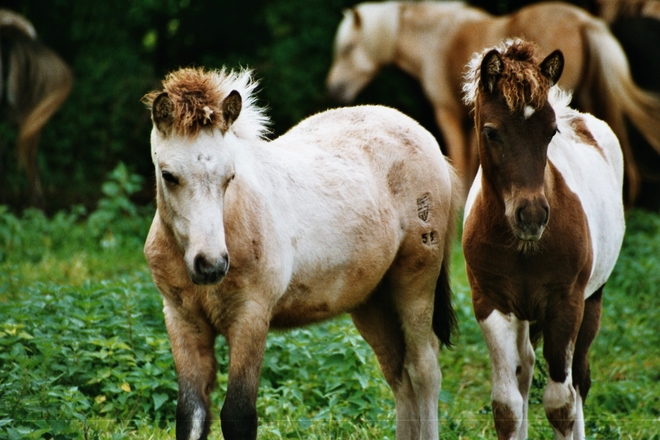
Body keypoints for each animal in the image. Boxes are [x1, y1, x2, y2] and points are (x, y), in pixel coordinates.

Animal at [142, 66, 462, 440]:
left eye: (229, 176)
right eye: (169, 176)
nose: (211, 265)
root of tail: (428, 140)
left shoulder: (251, 316)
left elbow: (238, 415)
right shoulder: (182, 319)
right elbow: (191, 413)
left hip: (416, 282)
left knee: (424, 370)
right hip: (372, 301)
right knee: (399, 375)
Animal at [328, 0, 660, 205]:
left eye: (347, 48)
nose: (332, 90)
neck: (437, 37)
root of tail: (584, 20)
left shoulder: (448, 115)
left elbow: (459, 161)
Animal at [458, 38, 624, 440]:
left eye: (550, 132)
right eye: (492, 132)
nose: (531, 216)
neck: (524, 246)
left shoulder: (566, 304)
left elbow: (560, 404)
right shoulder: (490, 303)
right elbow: (506, 406)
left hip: (593, 299)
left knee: (579, 380)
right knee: (525, 371)